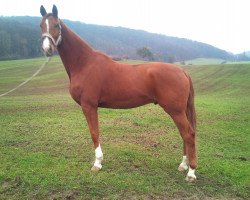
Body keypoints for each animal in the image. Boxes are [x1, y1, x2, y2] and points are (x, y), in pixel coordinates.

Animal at [39, 5, 197, 183]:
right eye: (41, 25)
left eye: (56, 25)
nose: (47, 49)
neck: (85, 63)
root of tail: (183, 71)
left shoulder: (89, 106)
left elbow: (94, 133)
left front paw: (97, 163)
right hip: (180, 111)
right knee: (185, 135)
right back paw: (183, 165)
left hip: (176, 111)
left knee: (188, 134)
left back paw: (191, 172)